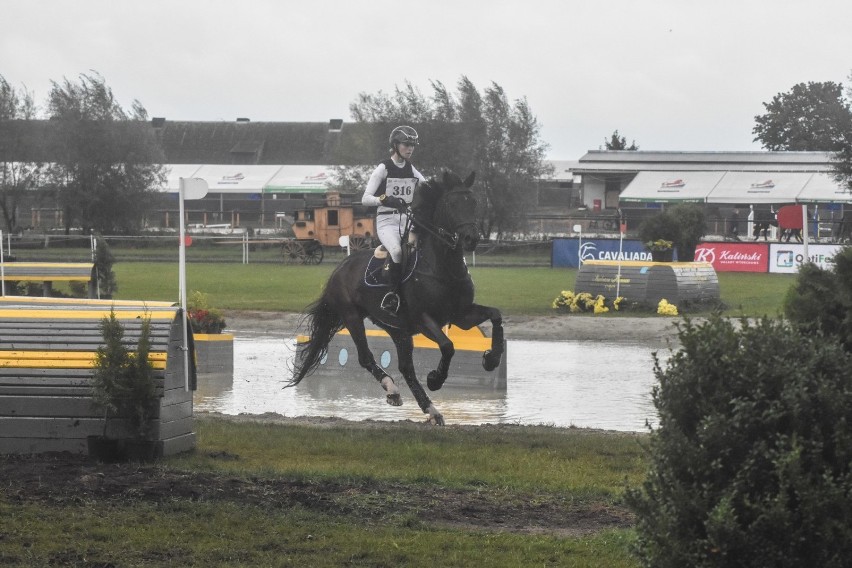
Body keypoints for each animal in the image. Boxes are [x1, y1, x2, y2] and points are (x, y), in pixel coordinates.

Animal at [292, 171, 506, 424]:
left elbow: (495, 315)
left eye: (473, 202)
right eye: (452, 204)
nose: (470, 238)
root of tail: (340, 268)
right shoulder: (424, 319)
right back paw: (394, 389)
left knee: (406, 368)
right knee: (366, 357)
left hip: (398, 331)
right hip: (352, 316)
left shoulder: (461, 315)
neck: (443, 267)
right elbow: (447, 345)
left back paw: (430, 410)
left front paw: (491, 359)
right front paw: (435, 378)